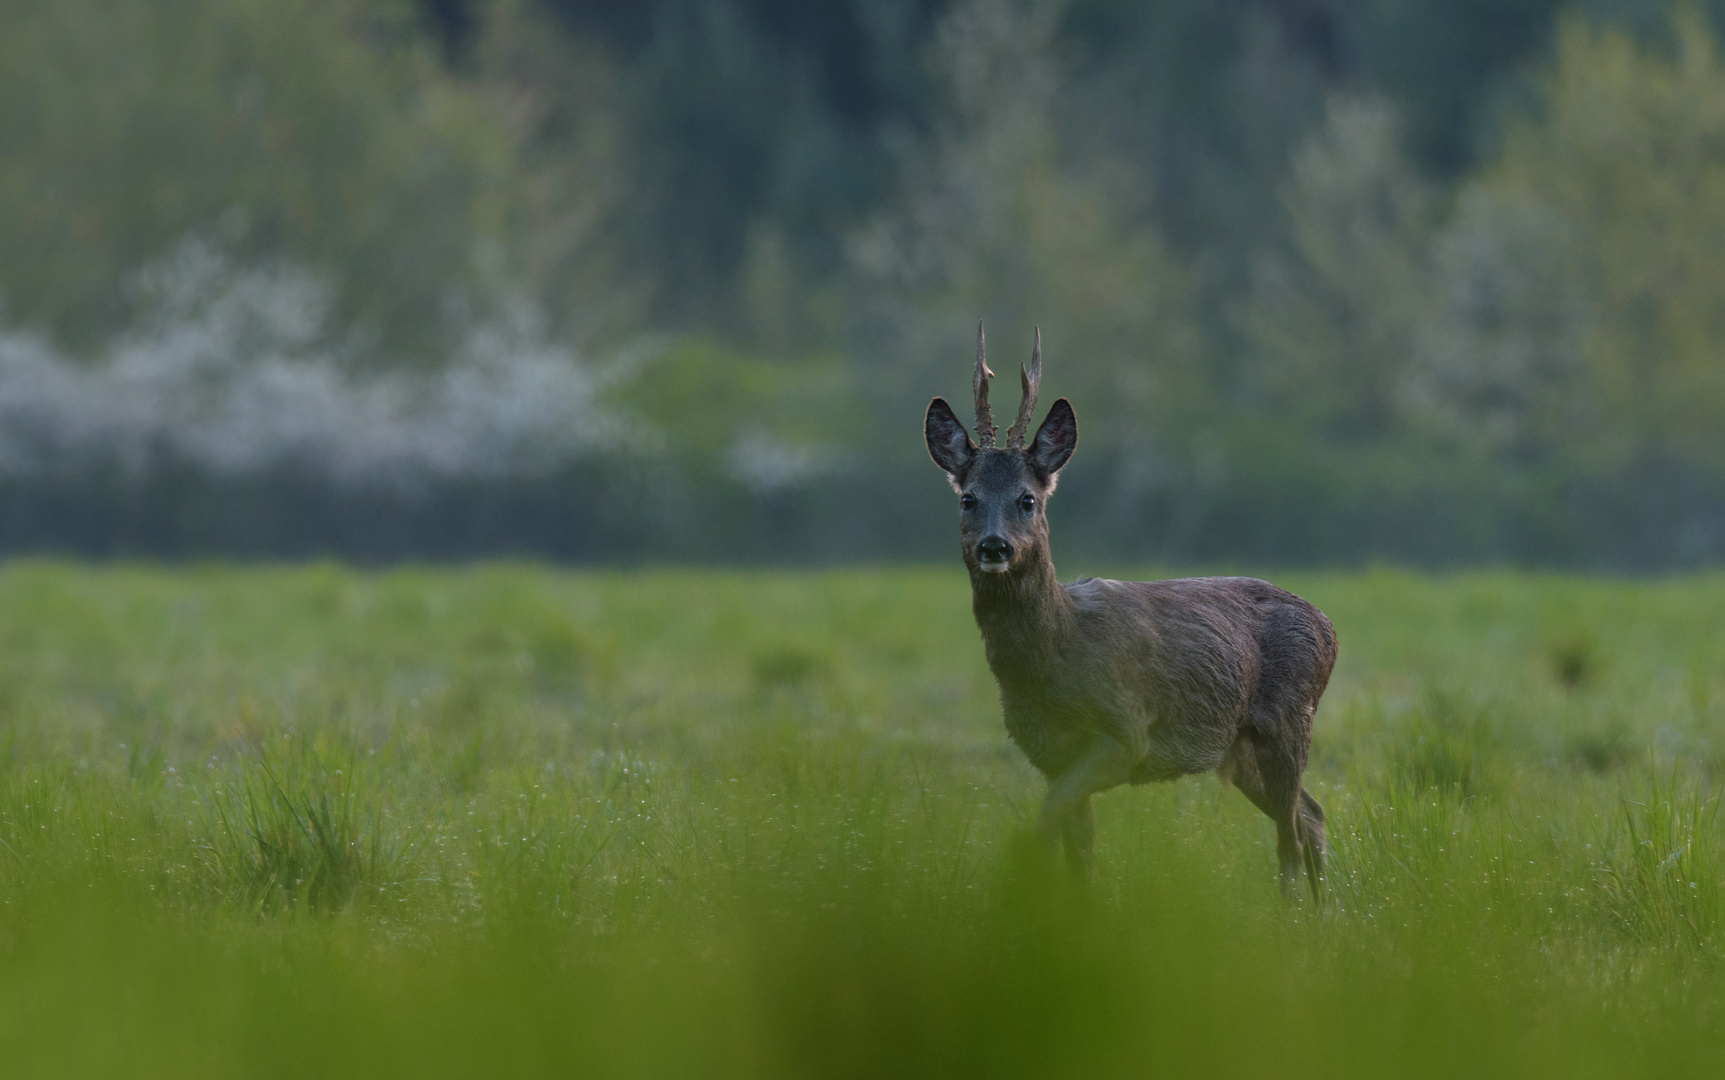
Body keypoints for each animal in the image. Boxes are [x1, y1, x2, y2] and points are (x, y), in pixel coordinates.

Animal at [924, 324, 1338, 897]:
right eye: (969, 498)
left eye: (1027, 499)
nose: (994, 546)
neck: (1055, 654)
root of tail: (1328, 626)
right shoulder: (1048, 752)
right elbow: (1080, 848)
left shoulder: (1128, 729)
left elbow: (1051, 815)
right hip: (1239, 746)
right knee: (1311, 816)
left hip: (1290, 717)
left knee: (1291, 838)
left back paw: (1297, 912)